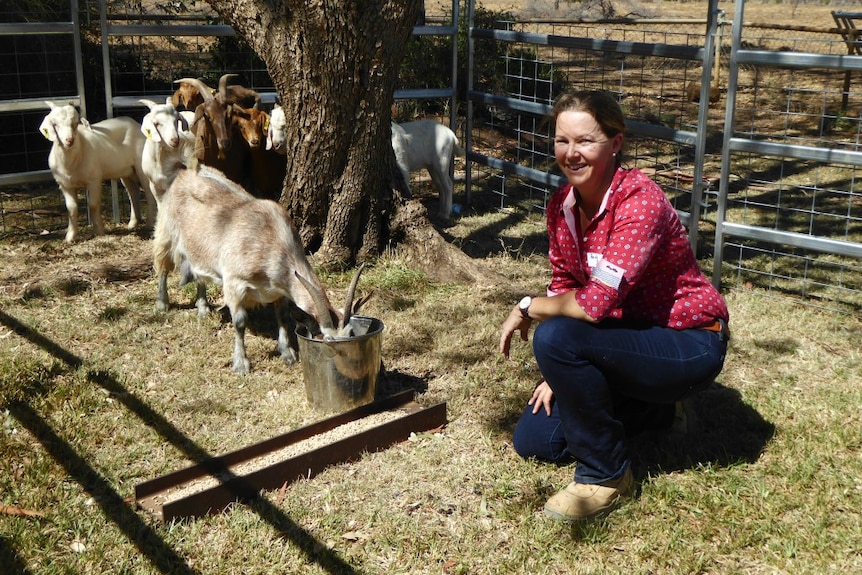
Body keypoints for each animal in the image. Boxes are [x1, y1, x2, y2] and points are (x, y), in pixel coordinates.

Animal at [39, 102, 155, 242]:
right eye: (55, 124)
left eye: (76, 123)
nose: (69, 140)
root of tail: (134, 124)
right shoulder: (64, 184)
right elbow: (71, 208)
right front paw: (70, 237)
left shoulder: (94, 179)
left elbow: (93, 204)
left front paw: (98, 231)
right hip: (127, 170)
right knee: (133, 193)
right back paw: (133, 223)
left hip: (141, 166)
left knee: (148, 192)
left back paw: (150, 223)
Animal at [155, 164, 364, 376]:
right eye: (326, 339)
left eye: (351, 333)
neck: (274, 241)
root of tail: (184, 173)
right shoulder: (234, 282)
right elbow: (239, 322)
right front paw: (241, 364)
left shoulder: (279, 289)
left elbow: (283, 316)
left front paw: (288, 354)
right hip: (167, 231)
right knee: (163, 264)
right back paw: (162, 303)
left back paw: (203, 307)